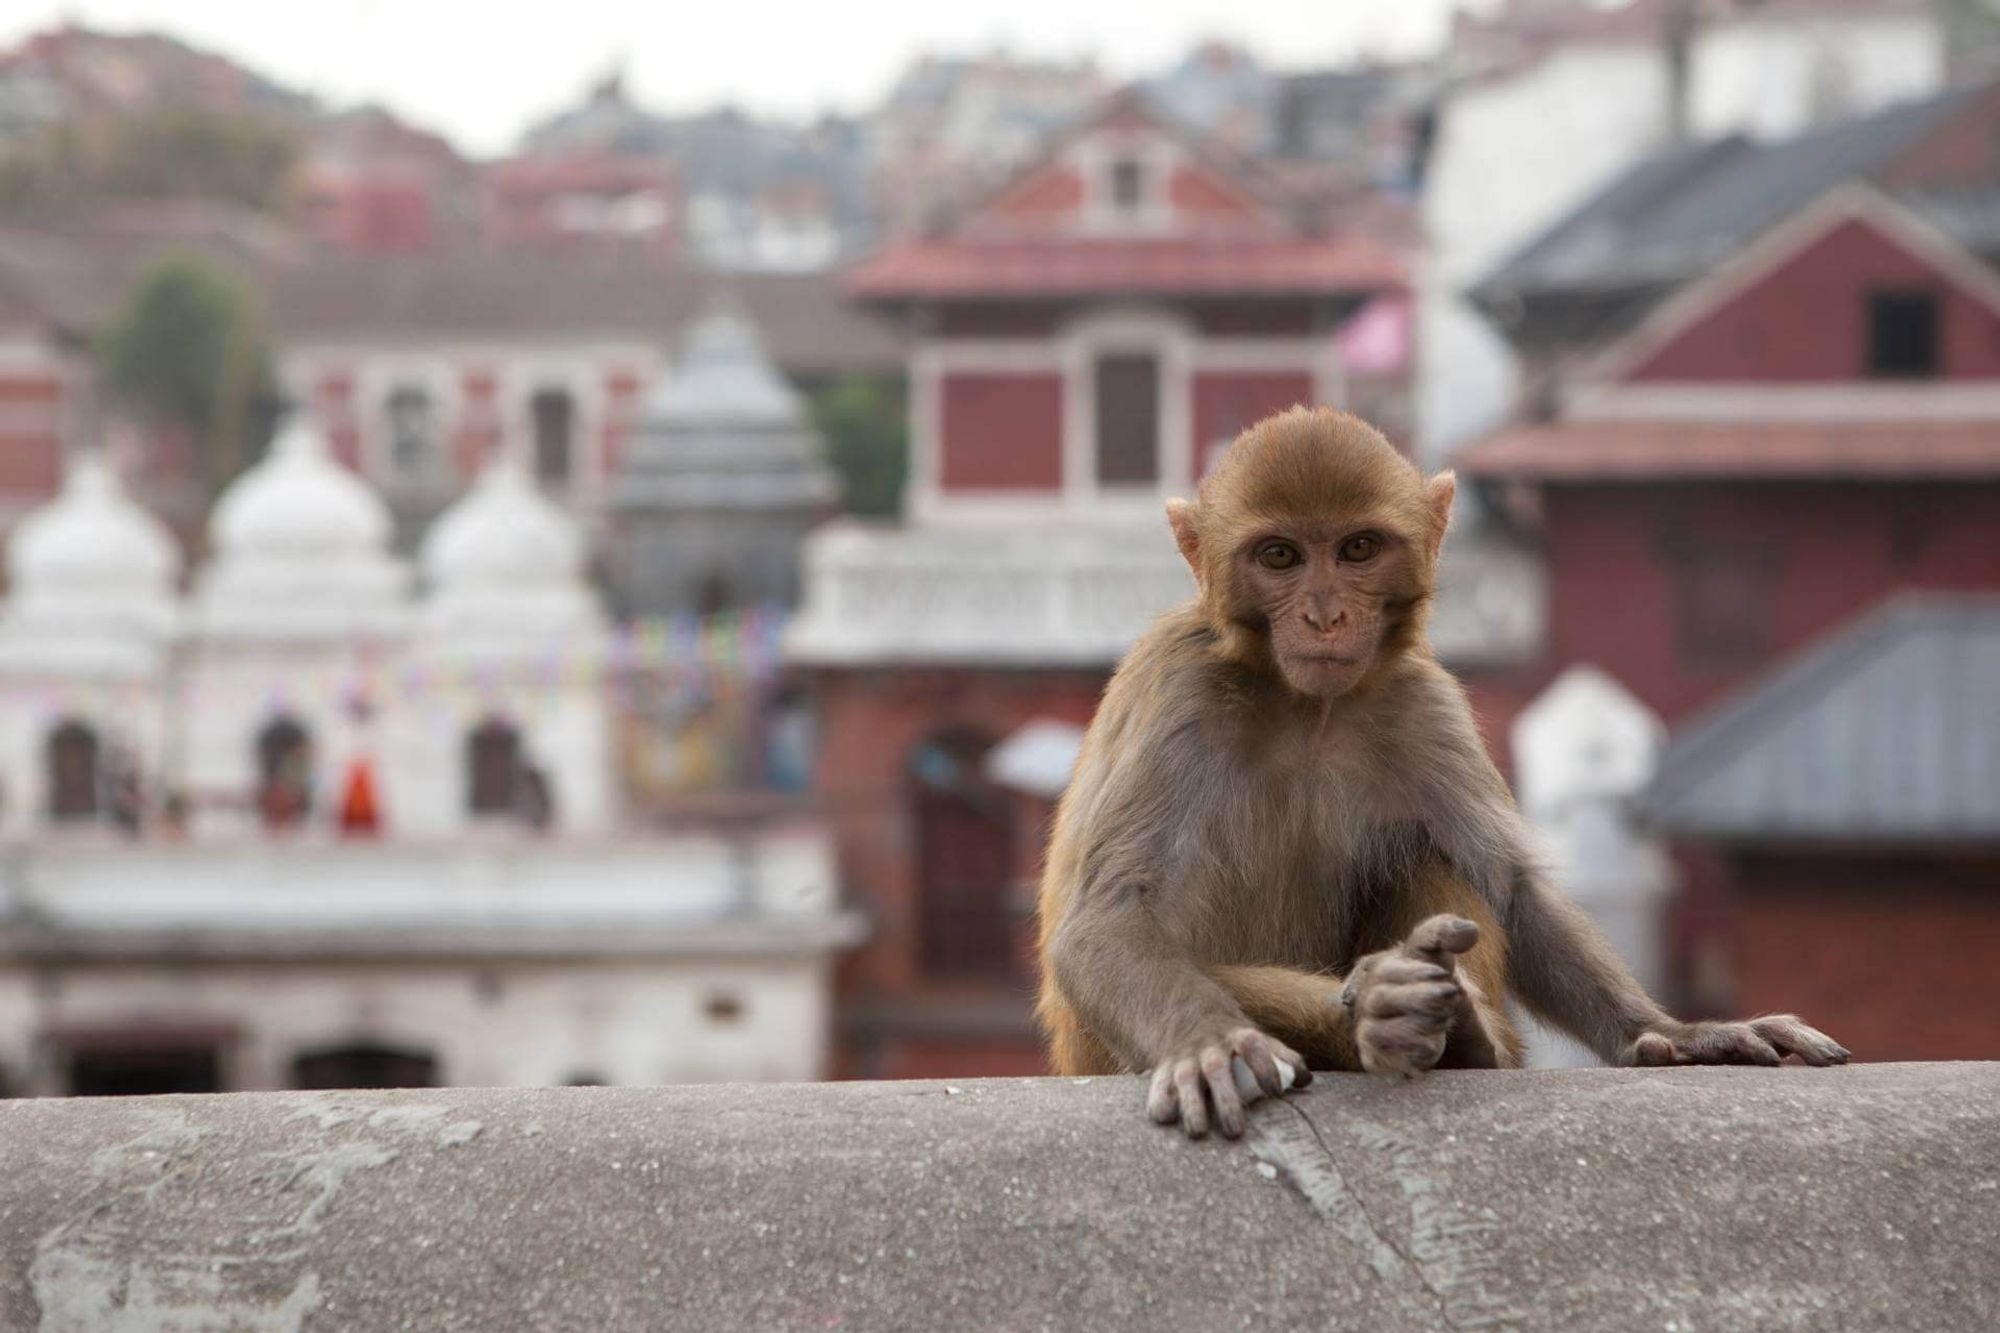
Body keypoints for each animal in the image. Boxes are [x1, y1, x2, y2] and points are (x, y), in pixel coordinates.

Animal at [1040, 410, 1848, 1136]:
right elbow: (1109, 913)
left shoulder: (1422, 704)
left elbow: (1514, 891)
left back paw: (1452, 1032)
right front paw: (1208, 1041)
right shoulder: (1180, 692)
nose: (1325, 616)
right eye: (1279, 557)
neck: (1306, 707)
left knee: (1433, 854)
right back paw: (1388, 1011)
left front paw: (1673, 1031)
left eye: (1357, 548)